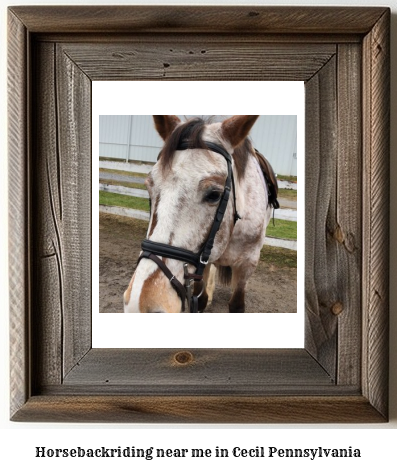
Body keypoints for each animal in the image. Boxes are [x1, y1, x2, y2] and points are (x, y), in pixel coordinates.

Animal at [122, 114, 276, 314]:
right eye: (150, 187)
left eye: (214, 195)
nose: (140, 303)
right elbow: (200, 300)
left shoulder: (247, 264)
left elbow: (236, 303)